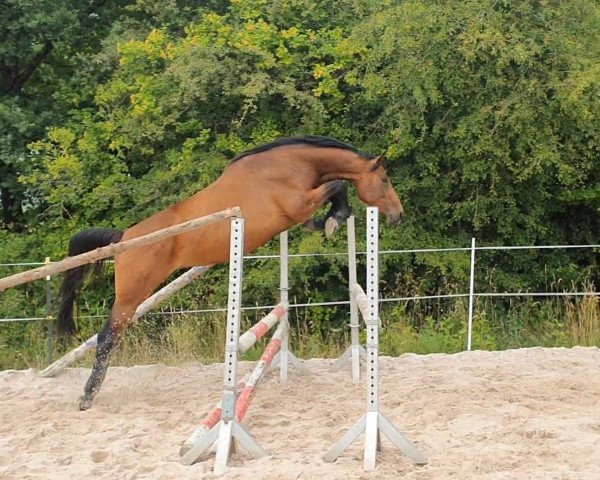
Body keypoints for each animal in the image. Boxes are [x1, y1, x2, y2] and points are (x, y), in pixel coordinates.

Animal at [58, 135, 404, 408]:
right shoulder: (299, 203)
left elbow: (332, 192)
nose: (398, 215)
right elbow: (336, 185)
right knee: (107, 336)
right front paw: (333, 220)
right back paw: (87, 396)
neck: (290, 166)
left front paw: (326, 222)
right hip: (132, 295)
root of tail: (123, 238)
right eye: (385, 180)